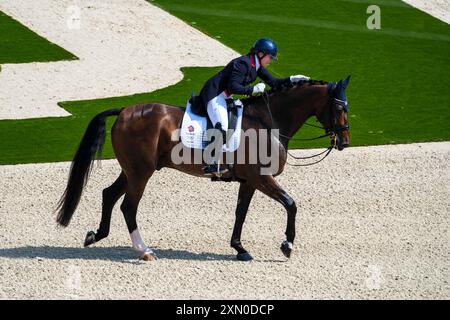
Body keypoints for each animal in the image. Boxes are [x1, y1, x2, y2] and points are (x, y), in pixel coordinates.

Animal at [55, 76, 352, 262]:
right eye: (340, 108)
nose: (346, 142)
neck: (268, 121)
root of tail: (125, 110)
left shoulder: (249, 180)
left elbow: (241, 213)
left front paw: (239, 248)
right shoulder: (261, 177)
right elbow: (291, 204)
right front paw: (287, 245)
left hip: (132, 170)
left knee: (108, 194)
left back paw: (96, 235)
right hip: (141, 173)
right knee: (128, 206)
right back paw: (144, 250)